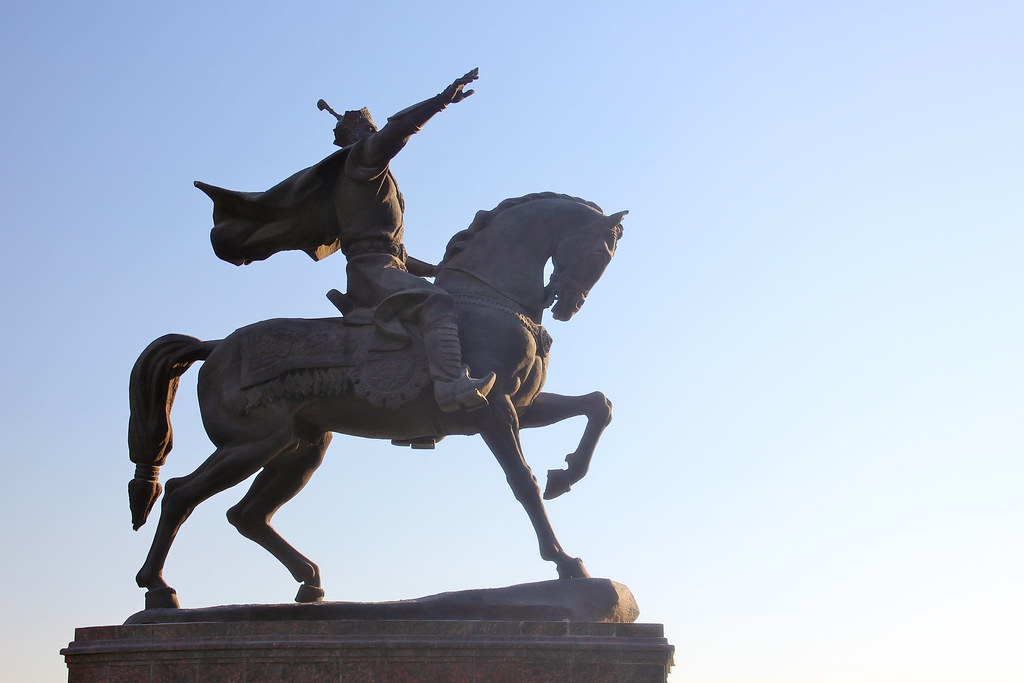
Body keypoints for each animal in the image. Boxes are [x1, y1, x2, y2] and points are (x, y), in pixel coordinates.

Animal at [128, 192, 622, 610]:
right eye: (602, 253)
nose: (568, 306)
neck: (490, 302)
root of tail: (215, 347)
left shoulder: (523, 406)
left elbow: (598, 405)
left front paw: (566, 475)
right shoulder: (492, 409)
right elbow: (522, 482)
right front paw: (565, 561)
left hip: (300, 447)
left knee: (247, 515)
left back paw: (310, 582)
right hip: (252, 443)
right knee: (180, 495)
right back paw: (158, 590)